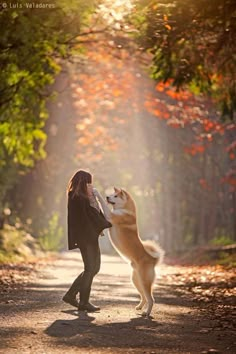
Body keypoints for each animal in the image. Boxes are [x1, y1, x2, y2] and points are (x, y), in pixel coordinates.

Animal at [94, 187, 164, 316]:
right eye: (112, 194)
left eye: (116, 196)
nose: (107, 197)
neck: (124, 210)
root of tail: (153, 260)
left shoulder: (110, 216)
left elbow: (103, 205)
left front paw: (96, 192)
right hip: (136, 280)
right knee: (144, 297)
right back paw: (140, 307)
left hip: (144, 281)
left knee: (151, 299)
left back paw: (147, 312)